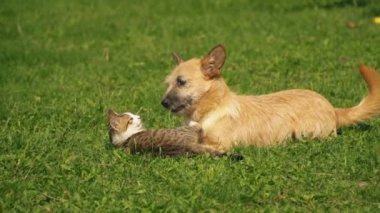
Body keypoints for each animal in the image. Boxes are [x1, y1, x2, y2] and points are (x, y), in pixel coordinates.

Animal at [162, 44, 380, 151]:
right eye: (168, 83)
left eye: (181, 82)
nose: (162, 103)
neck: (211, 110)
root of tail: (332, 108)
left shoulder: (221, 144)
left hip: (306, 133)